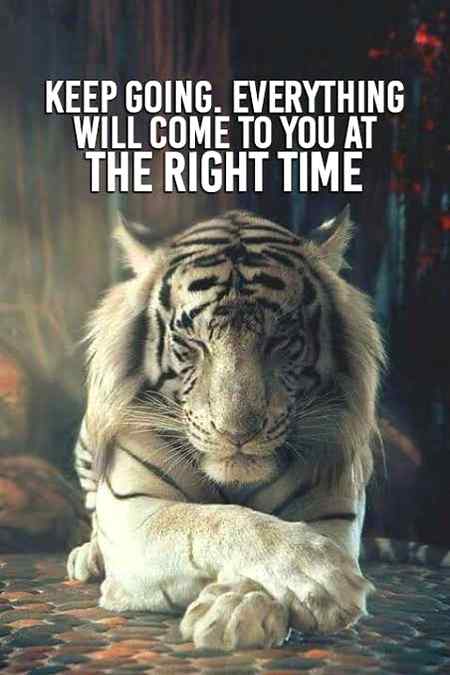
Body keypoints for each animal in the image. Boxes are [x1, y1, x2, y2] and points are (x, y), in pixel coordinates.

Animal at [67, 207, 446, 651]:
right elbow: (213, 521)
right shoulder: (134, 516)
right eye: (192, 344)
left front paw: (237, 608)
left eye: (280, 341)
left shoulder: (334, 513)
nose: (236, 433)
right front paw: (319, 576)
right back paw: (88, 556)